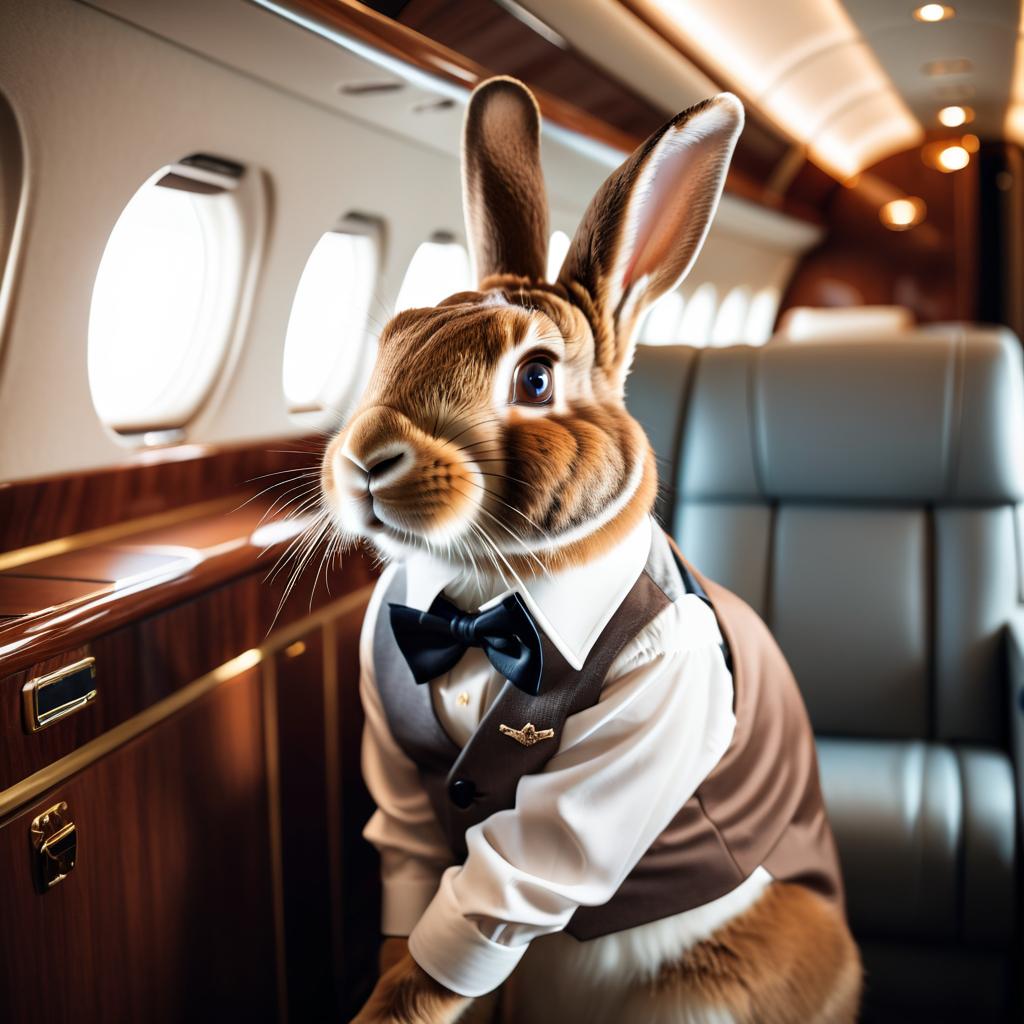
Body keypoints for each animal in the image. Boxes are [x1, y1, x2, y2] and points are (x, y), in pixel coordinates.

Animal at [321, 75, 864, 1019]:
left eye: (535, 378)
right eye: (393, 339)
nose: (365, 460)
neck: (482, 605)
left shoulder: (611, 767)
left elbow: (486, 906)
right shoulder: (400, 789)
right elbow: (414, 881)